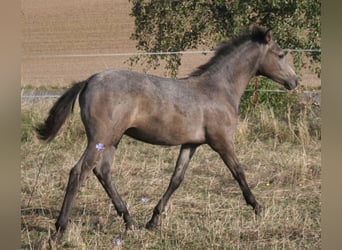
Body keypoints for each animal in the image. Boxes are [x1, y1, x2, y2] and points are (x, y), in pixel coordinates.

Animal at [35, 24, 296, 241]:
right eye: (281, 54)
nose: (295, 81)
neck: (218, 89)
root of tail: (89, 80)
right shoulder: (222, 141)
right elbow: (239, 172)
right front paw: (258, 208)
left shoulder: (191, 144)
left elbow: (176, 178)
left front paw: (153, 220)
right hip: (100, 138)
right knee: (79, 172)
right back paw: (60, 229)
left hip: (112, 140)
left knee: (103, 172)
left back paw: (130, 222)